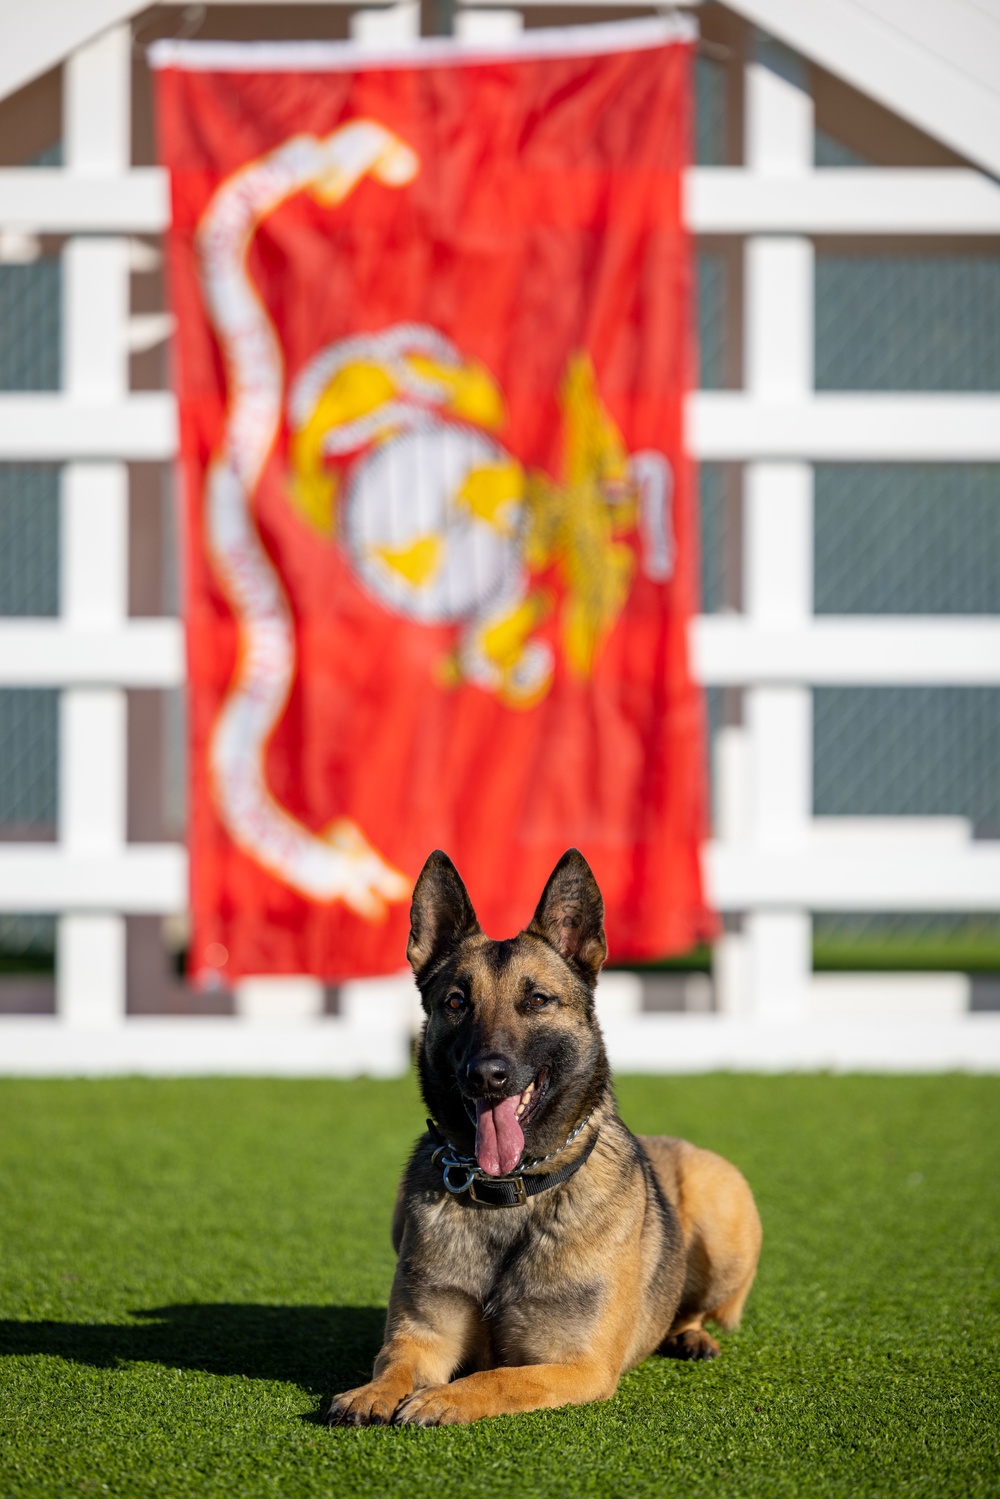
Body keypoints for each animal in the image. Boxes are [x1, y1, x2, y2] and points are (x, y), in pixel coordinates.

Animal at [326, 845, 758, 1427]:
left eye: (536, 1000)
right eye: (457, 1002)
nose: (487, 1075)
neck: (509, 1193)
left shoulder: (576, 1365)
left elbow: (497, 1378)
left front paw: (443, 1398)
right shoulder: (423, 1335)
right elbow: (394, 1360)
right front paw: (373, 1392)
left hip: (721, 1207)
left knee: (696, 1309)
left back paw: (690, 1336)